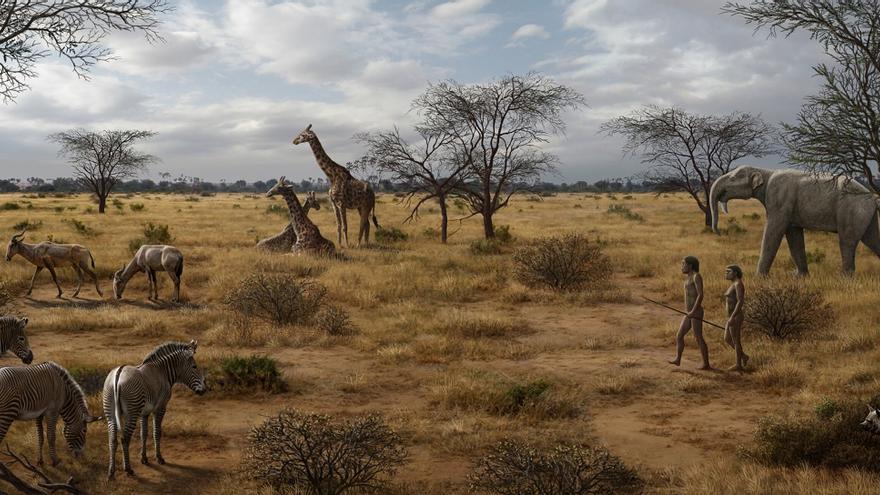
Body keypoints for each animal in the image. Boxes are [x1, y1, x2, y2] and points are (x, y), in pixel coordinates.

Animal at [102, 340, 207, 480]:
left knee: (112, 440)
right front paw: (159, 458)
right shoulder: (160, 408)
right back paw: (128, 469)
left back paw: (111, 473)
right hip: (132, 412)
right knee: (125, 439)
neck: (162, 371)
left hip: (110, 413)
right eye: (194, 367)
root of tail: (117, 376)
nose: (205, 389)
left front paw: (144, 458)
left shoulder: (144, 413)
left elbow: (144, 434)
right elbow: (157, 432)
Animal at [708, 167, 880, 276]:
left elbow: (773, 232)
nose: (718, 233)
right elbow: (794, 235)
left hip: (851, 209)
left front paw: (759, 278)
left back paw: (844, 278)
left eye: (732, 178)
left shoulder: (779, 199)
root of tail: (872, 197)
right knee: (872, 239)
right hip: (863, 213)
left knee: (847, 241)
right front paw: (799, 277)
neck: (765, 172)